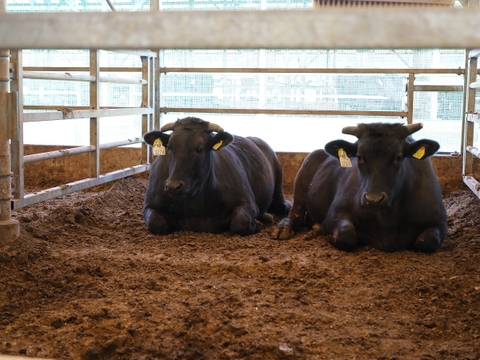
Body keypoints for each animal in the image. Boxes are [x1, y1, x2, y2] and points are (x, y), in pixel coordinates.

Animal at [142, 116, 290, 236]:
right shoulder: (149, 204)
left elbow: (239, 221)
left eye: (199, 149)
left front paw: (257, 224)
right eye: (169, 147)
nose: (173, 186)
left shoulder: (247, 201)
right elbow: (156, 223)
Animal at [272, 122, 448, 252]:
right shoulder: (336, 211)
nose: (373, 200)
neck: (388, 221)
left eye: (398, 157)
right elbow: (346, 234)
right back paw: (284, 229)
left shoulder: (440, 221)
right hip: (299, 193)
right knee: (294, 215)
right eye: (359, 156)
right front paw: (327, 233)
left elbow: (426, 241)